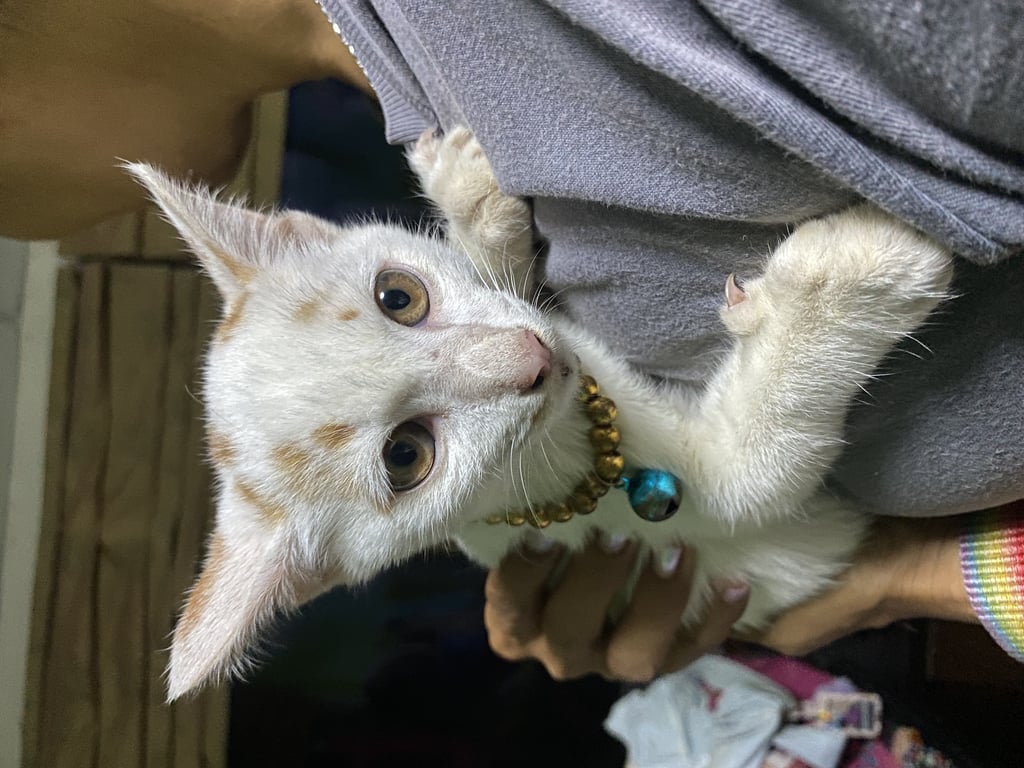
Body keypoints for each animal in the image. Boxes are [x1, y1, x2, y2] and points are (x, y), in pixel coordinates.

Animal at [127, 127, 953, 701]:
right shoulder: (706, 511)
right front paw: (854, 275)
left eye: (399, 295)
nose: (529, 358)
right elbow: (760, 467)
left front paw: (470, 204)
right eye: (406, 457)